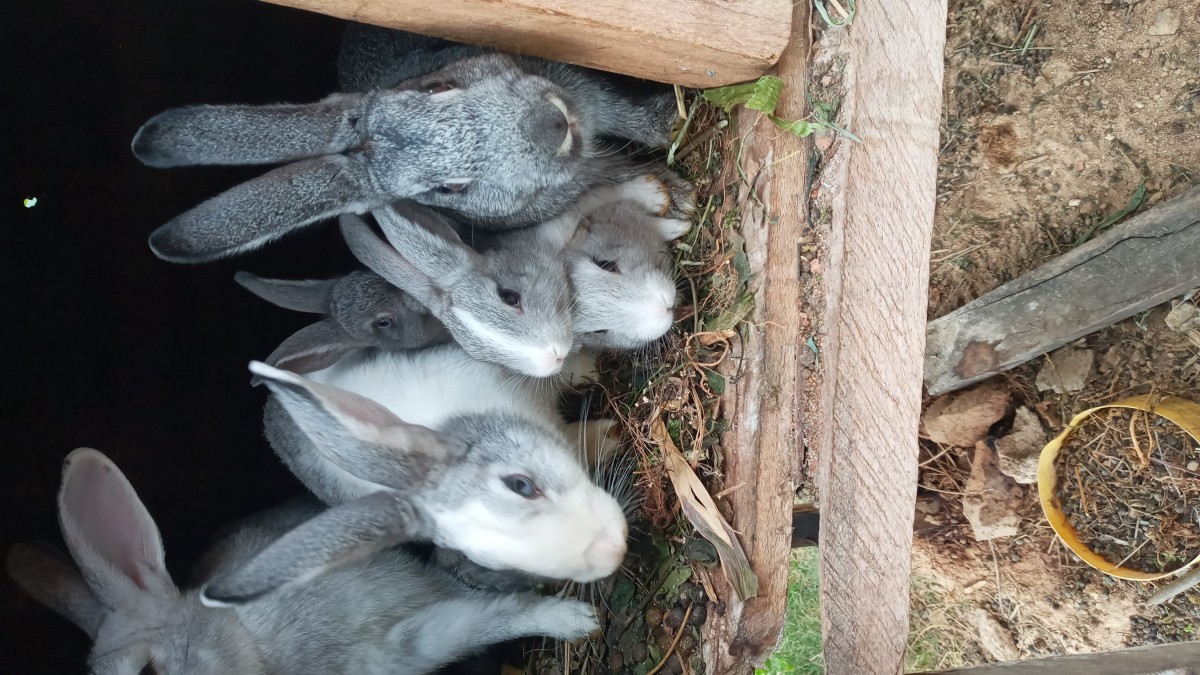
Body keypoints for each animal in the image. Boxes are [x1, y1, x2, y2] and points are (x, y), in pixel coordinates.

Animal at [132, 27, 678, 264]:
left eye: (436, 87)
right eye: (448, 188)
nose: (548, 124)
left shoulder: (576, 88)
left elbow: (621, 113)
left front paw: (669, 124)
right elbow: (608, 173)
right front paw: (674, 195)